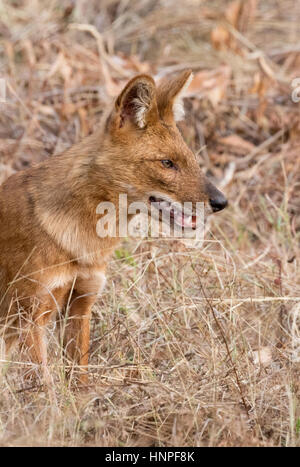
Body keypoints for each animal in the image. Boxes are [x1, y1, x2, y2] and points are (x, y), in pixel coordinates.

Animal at [0, 69, 227, 384]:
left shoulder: (80, 306)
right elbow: (44, 389)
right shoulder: (29, 318)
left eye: (192, 161)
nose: (221, 201)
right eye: (167, 163)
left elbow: (79, 382)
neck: (83, 241)